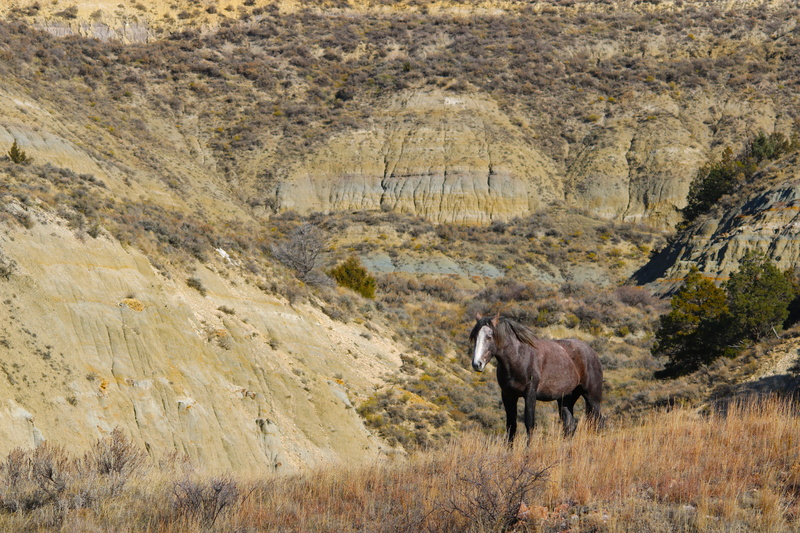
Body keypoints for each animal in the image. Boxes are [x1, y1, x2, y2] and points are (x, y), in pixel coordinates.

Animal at [469, 314, 604, 442]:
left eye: (489, 337)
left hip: (592, 398)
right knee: (569, 426)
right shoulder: (508, 395)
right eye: (475, 337)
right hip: (566, 399)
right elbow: (511, 426)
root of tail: (592, 352)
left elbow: (529, 424)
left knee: (597, 422)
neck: (519, 358)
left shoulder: (530, 394)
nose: (477, 364)